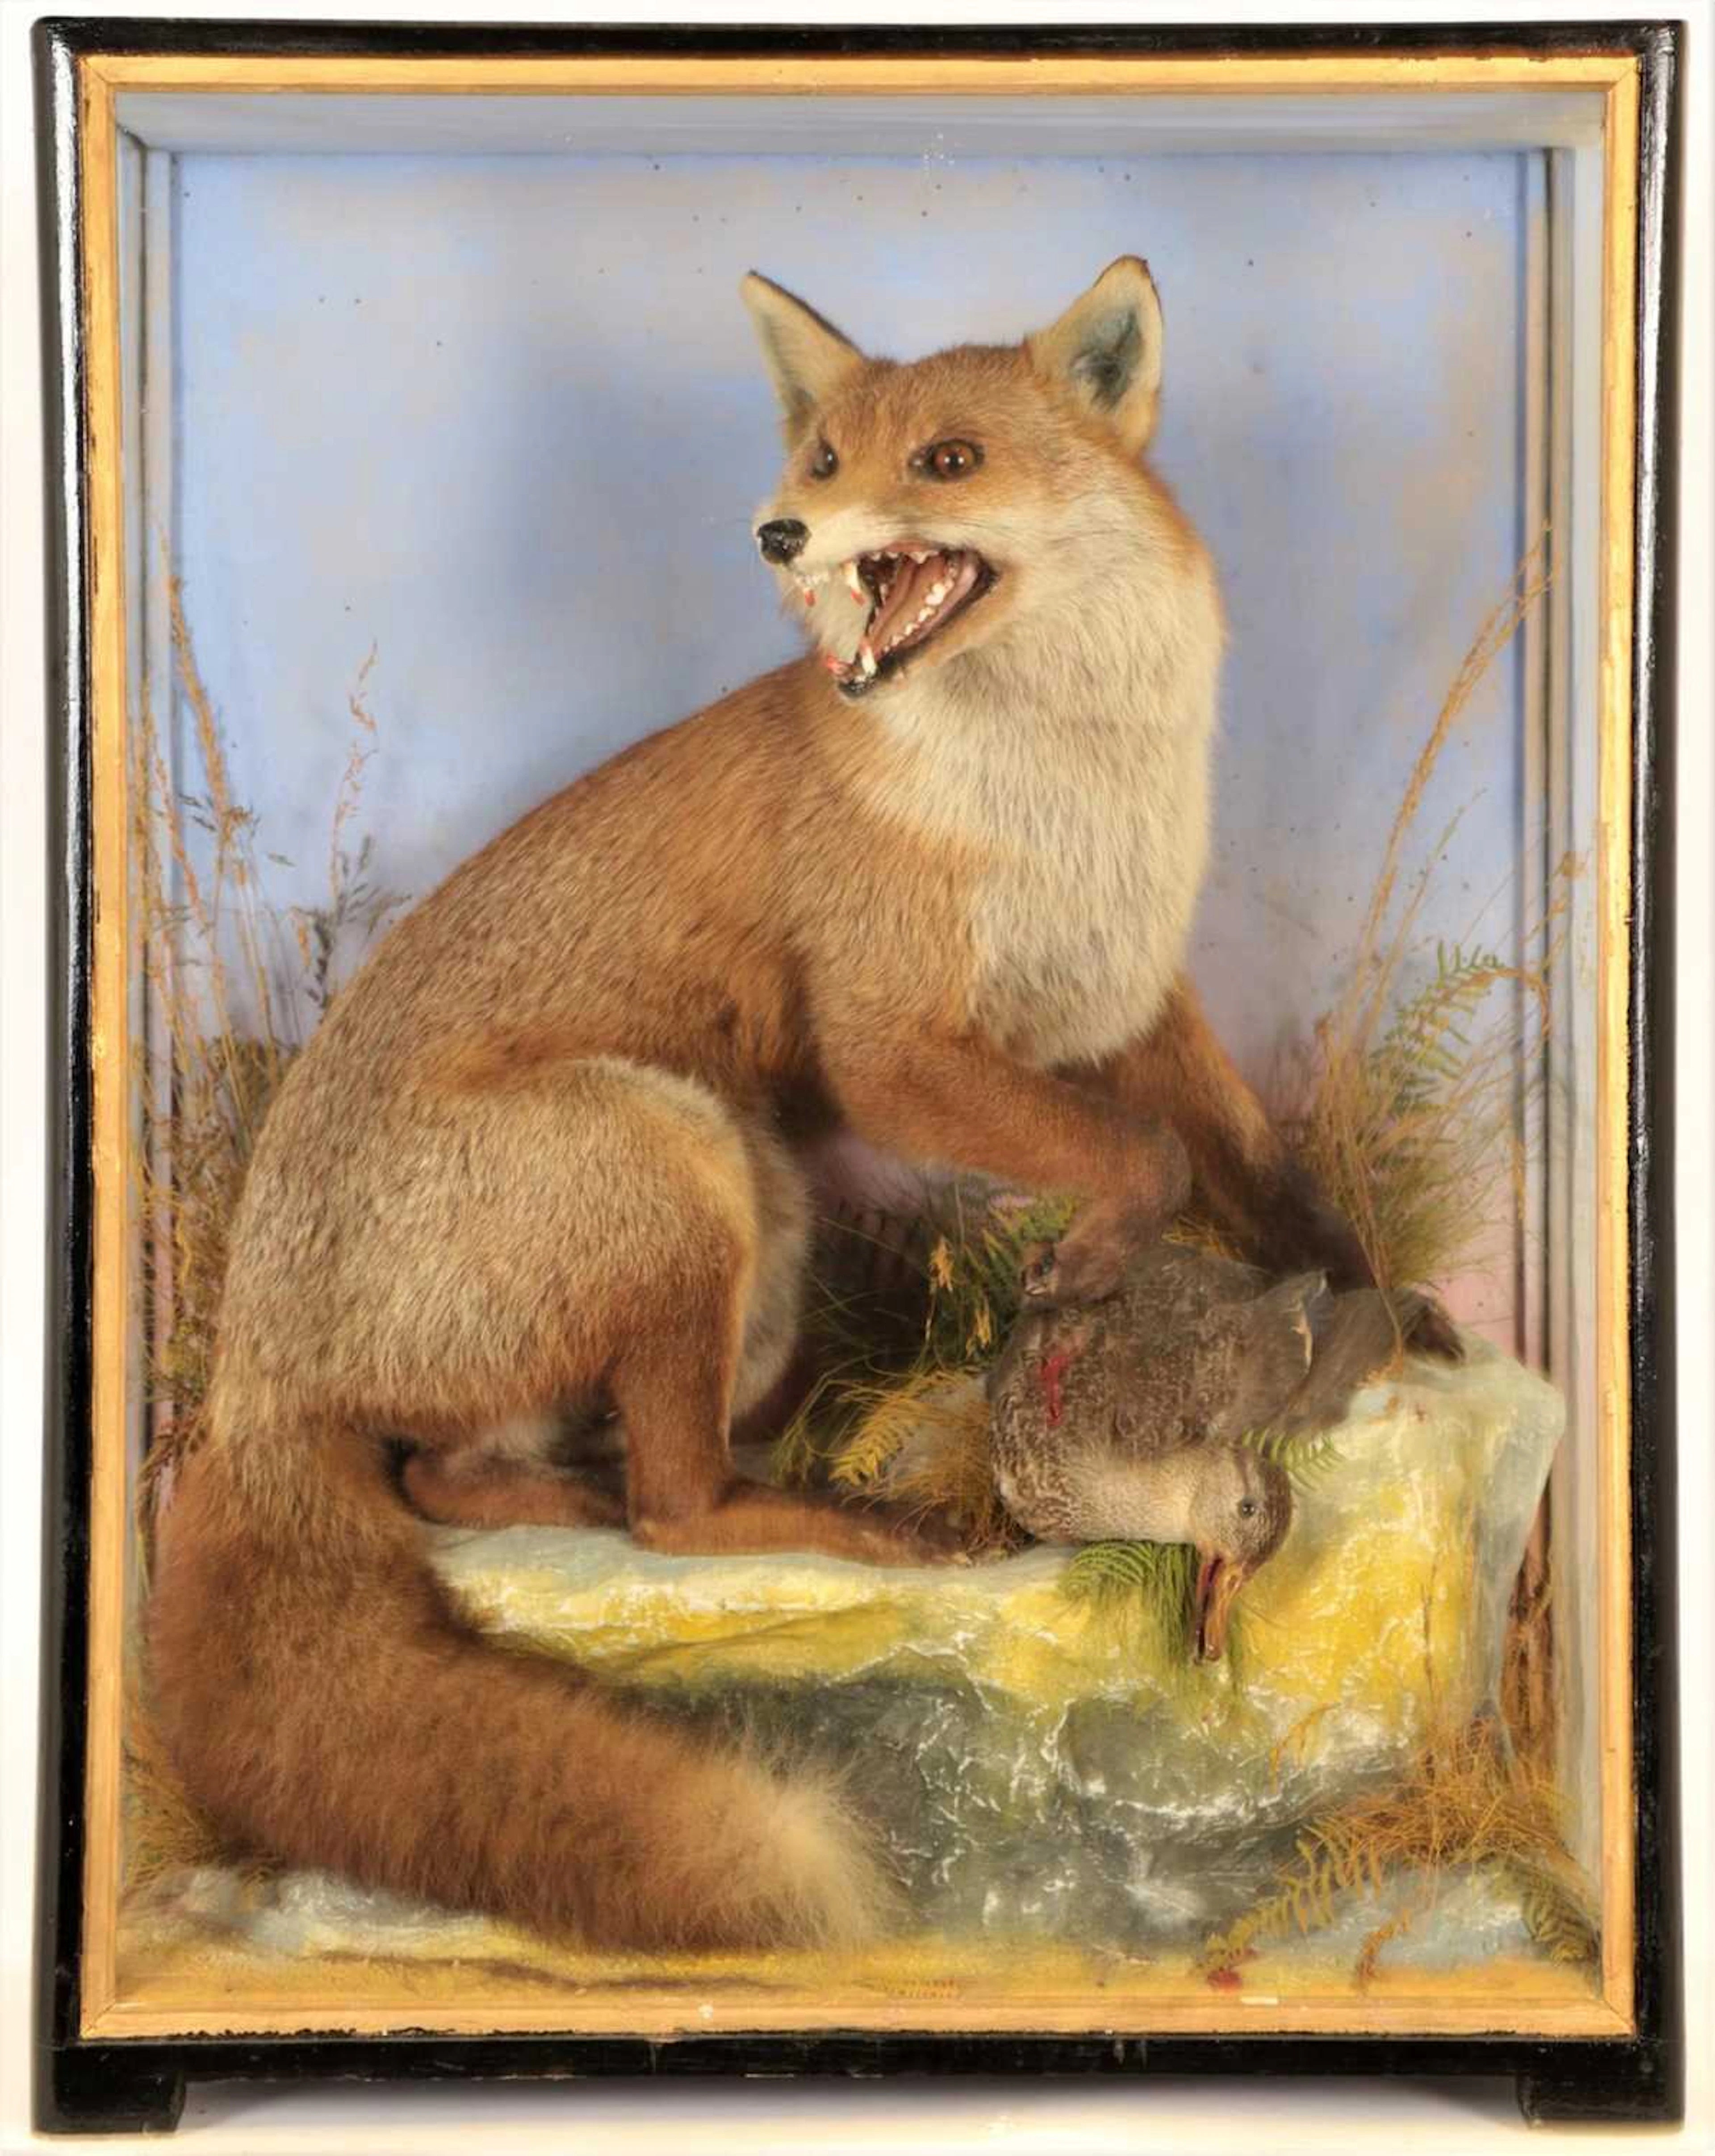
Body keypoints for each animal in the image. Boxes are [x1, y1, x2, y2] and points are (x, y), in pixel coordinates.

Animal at [148, 257, 1418, 1957]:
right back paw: (858, 1524)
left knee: (458, 1476)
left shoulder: (1130, 991)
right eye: (822, 459)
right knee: (670, 1512)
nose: (773, 531)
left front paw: (1384, 1300)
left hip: (759, 1218)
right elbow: (1140, 1156)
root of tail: (247, 1367)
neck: (1056, 789)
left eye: (944, 461)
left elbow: (1258, 1168)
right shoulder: (889, 1043)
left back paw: (611, 1468)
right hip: (679, 1156)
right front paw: (1093, 1263)